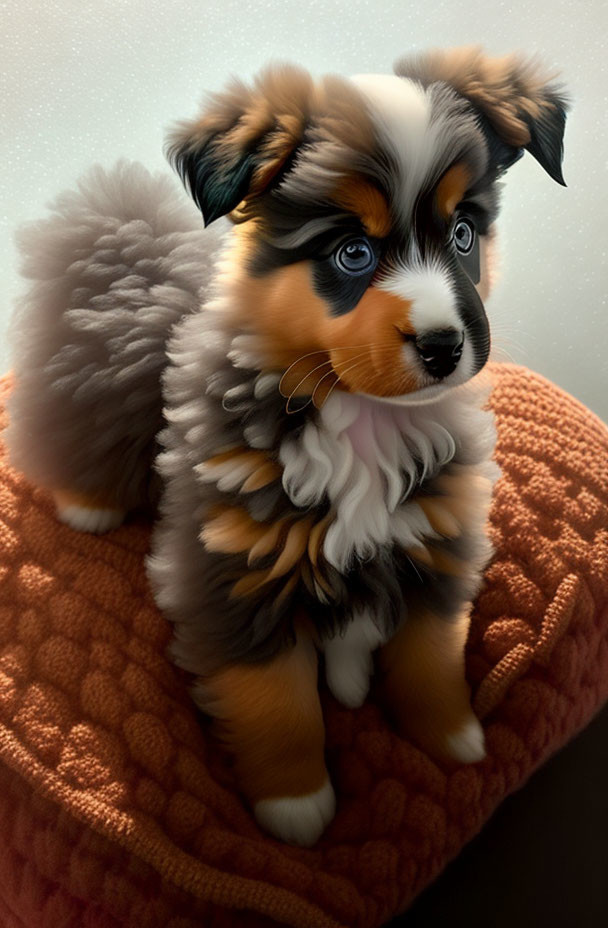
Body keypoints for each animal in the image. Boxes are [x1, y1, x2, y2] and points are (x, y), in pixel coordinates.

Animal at [4, 49, 568, 848]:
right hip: (92, 395)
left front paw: (453, 736)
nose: (443, 346)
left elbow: (431, 653)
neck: (362, 417)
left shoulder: (436, 538)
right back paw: (89, 504)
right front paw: (295, 804)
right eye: (353, 252)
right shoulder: (231, 561)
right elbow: (273, 695)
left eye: (464, 233)